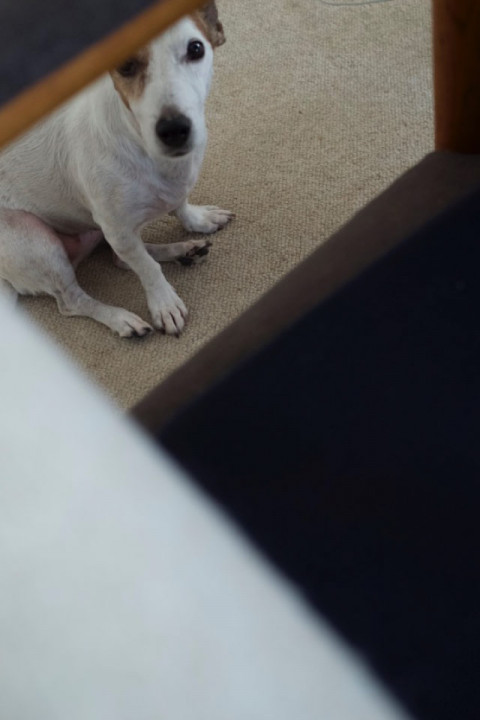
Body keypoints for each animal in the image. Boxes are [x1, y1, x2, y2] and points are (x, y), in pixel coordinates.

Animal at [0, 1, 233, 337]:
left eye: (196, 48)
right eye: (125, 65)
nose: (174, 129)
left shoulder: (158, 206)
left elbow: (180, 207)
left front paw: (199, 220)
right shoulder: (118, 230)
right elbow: (147, 269)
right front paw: (164, 303)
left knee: (119, 260)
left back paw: (183, 250)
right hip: (38, 243)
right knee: (72, 301)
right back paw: (122, 319)